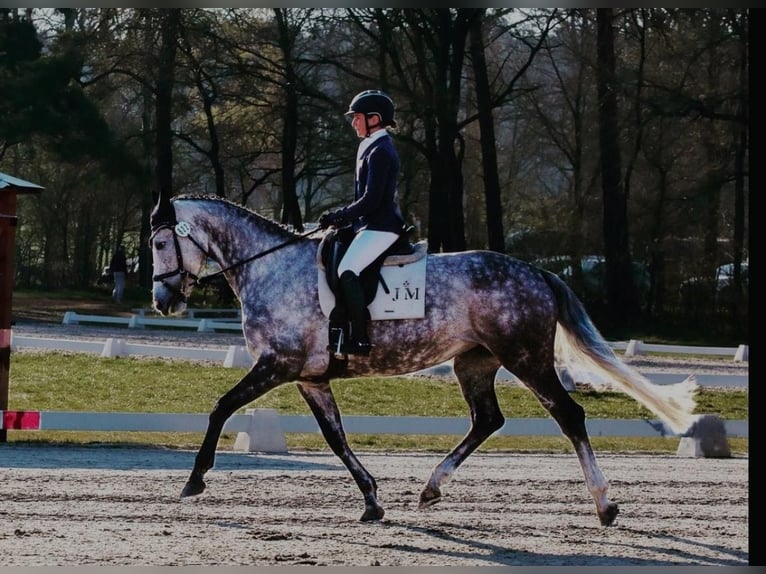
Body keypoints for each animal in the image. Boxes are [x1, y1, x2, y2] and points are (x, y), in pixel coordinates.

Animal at [149, 192, 699, 526]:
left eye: (158, 241)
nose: (162, 301)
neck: (269, 267)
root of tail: (538, 272)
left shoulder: (277, 365)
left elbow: (221, 406)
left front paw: (195, 480)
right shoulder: (309, 378)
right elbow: (335, 438)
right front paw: (372, 500)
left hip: (526, 357)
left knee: (569, 415)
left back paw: (605, 505)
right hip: (474, 362)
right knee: (487, 420)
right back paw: (431, 488)